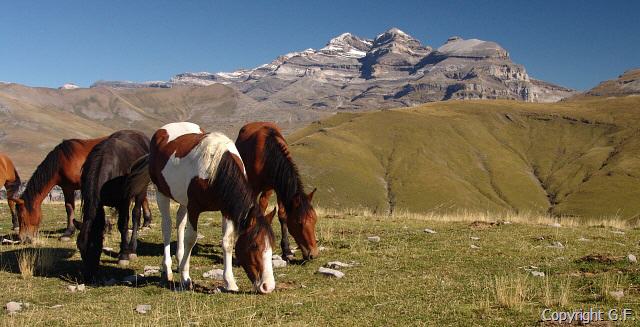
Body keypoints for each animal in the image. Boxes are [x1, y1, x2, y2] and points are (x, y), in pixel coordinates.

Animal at [13, 137, 153, 242]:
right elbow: (69, 207)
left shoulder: (75, 188)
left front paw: (68, 232)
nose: (22, 238)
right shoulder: (67, 188)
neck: (61, 162)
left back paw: (146, 221)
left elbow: (71, 208)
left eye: (22, 216)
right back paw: (146, 221)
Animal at [72, 131, 151, 282]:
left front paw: (124, 255)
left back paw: (132, 249)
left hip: (141, 191)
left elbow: (123, 225)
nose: (88, 277)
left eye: (95, 246)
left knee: (136, 215)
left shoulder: (124, 200)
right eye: (80, 247)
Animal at [235, 121, 318, 262]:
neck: (267, 152)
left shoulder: (275, 188)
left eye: (315, 220)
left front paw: (287, 251)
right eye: (299, 223)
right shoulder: (254, 187)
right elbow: (257, 210)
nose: (313, 254)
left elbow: (282, 215)